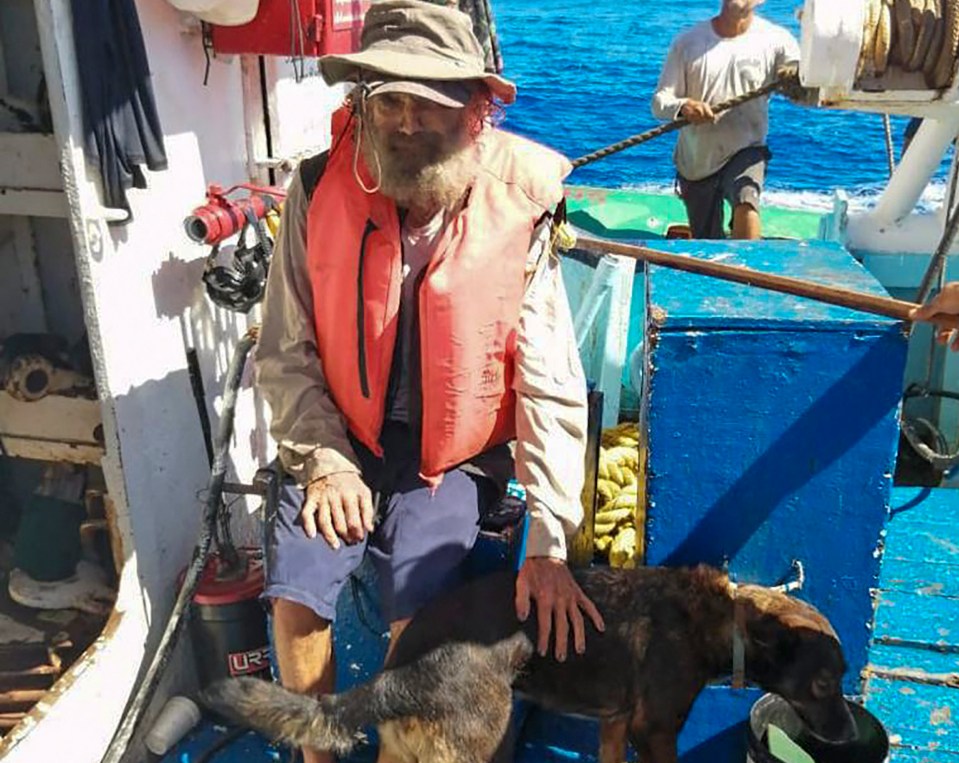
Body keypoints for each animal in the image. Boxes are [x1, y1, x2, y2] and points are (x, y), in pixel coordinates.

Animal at [201, 564, 856, 760]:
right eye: (825, 683)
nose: (850, 736)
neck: (723, 618)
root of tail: (397, 675)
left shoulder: (616, 726)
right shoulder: (654, 730)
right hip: (478, 745)